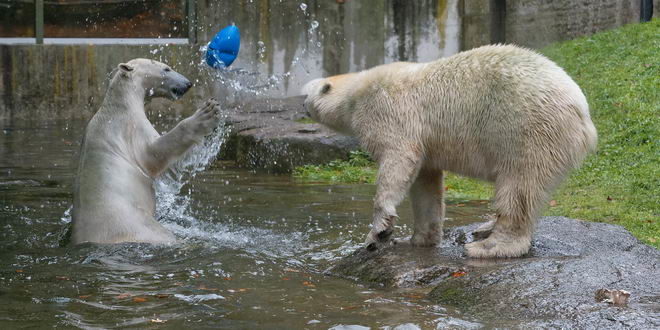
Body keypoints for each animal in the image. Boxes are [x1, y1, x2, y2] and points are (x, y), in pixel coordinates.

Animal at [73, 58, 220, 245]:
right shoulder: (130, 128)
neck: (118, 106)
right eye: (166, 68)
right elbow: (152, 154)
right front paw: (207, 113)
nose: (188, 84)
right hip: (136, 223)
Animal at [304, 45, 600, 260]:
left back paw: (489, 246)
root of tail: (583, 113)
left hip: (527, 130)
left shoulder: (388, 110)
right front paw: (418, 239)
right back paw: (485, 229)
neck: (355, 91)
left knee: (519, 187)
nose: (302, 106)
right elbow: (425, 182)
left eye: (306, 94)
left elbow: (398, 159)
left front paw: (378, 233)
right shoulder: (426, 146)